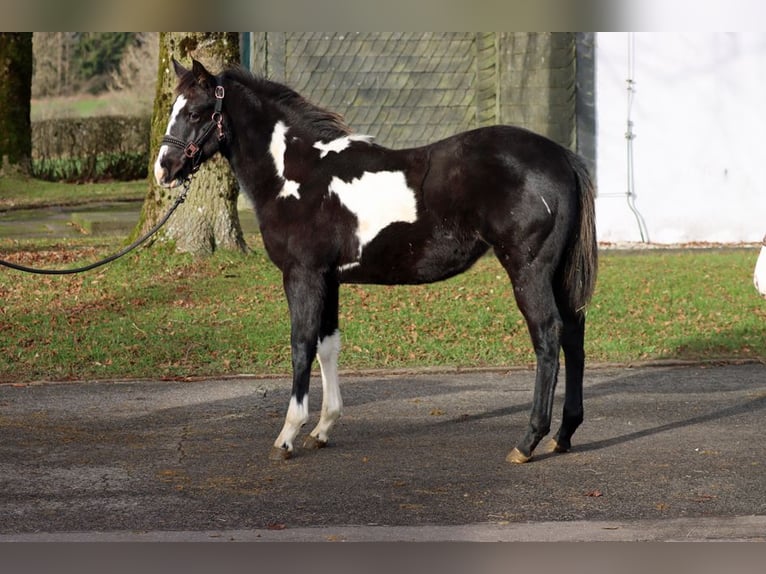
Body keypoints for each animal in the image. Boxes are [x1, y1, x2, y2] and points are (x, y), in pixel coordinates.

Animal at [154, 59, 598, 464]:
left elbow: (301, 344)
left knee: (548, 336)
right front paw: (323, 428)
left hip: (529, 271)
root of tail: (560, 157)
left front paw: (288, 435)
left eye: (195, 112)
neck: (298, 173)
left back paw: (528, 441)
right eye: (174, 107)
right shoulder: (329, 279)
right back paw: (564, 434)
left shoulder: (303, 276)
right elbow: (327, 346)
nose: (164, 169)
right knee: (574, 333)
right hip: (557, 275)